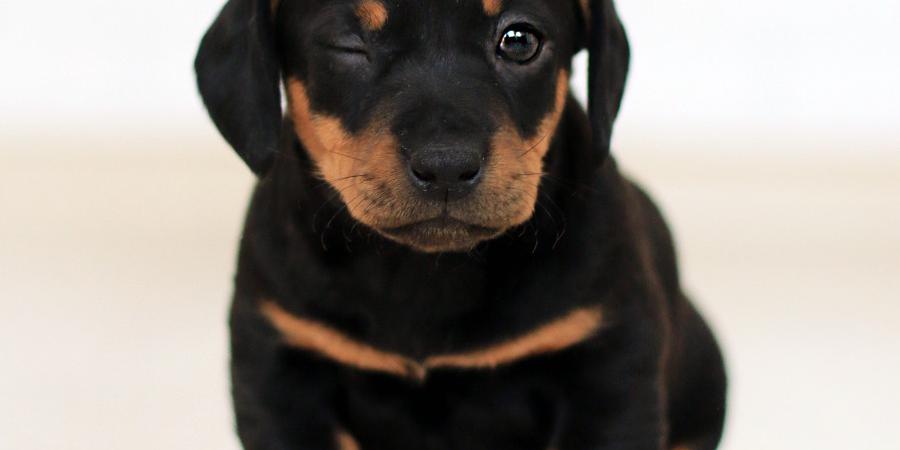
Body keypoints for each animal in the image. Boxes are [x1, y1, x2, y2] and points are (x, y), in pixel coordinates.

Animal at [195, 0, 724, 450]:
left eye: (519, 40)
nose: (446, 166)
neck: (426, 273)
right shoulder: (278, 372)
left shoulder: (609, 365)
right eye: (347, 44)